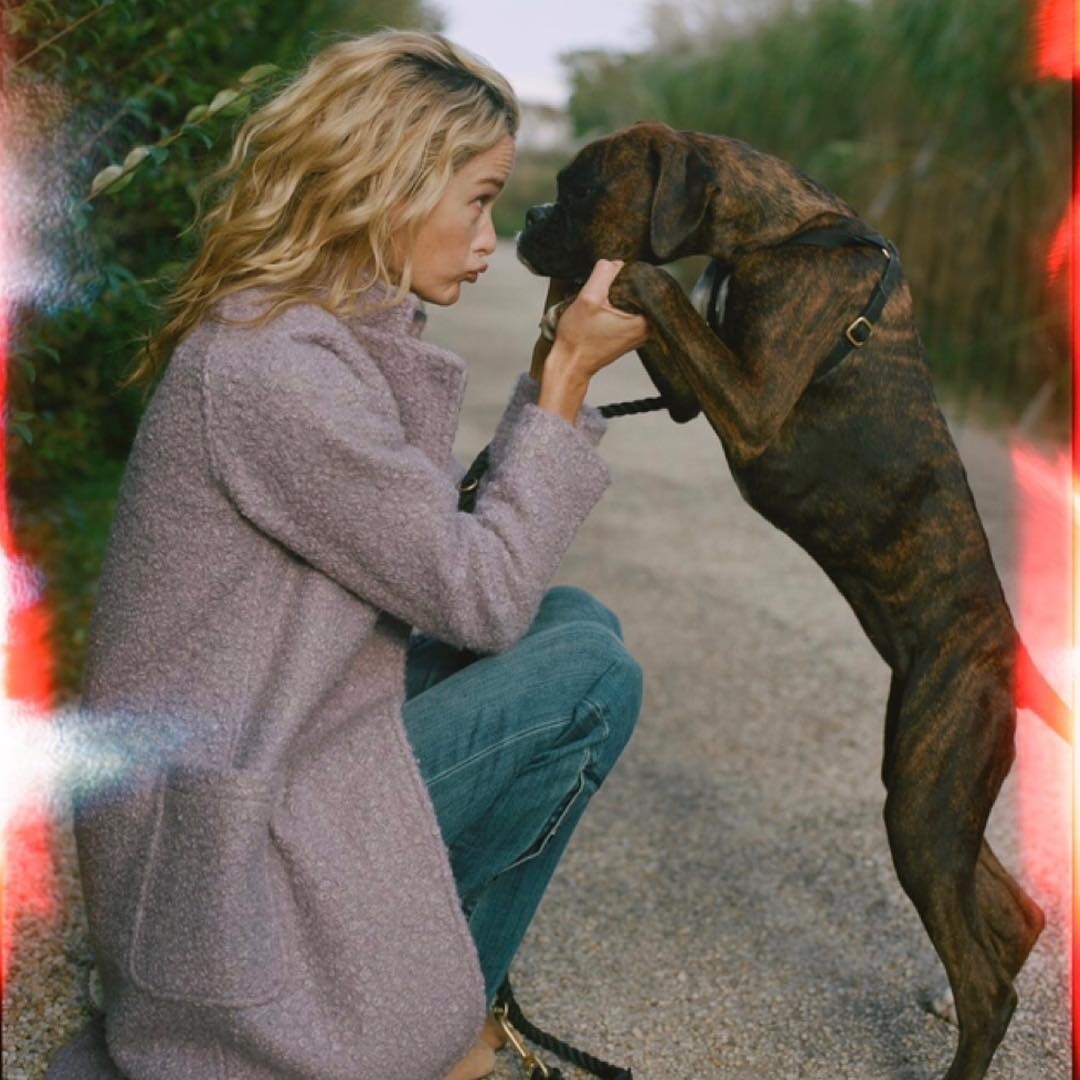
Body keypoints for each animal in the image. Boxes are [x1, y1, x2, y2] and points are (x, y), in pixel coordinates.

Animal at [516, 120, 1070, 1080]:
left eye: (580, 187)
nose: (528, 214)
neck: (781, 233)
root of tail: (1014, 656)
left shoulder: (753, 403)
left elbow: (655, 279)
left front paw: (587, 290)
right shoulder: (697, 393)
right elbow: (672, 315)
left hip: (925, 804)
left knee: (989, 982)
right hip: (933, 780)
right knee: (1013, 913)